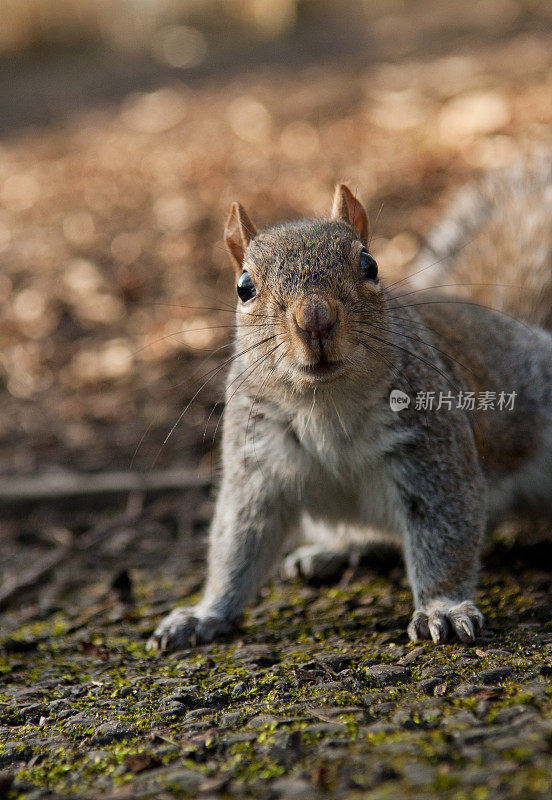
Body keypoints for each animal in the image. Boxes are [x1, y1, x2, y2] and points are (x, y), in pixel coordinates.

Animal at [149, 161, 552, 648]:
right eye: (244, 287)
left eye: (369, 264)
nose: (315, 319)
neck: (327, 405)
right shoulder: (256, 470)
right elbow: (237, 547)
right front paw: (203, 614)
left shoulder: (433, 451)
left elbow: (445, 534)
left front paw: (443, 607)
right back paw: (328, 554)